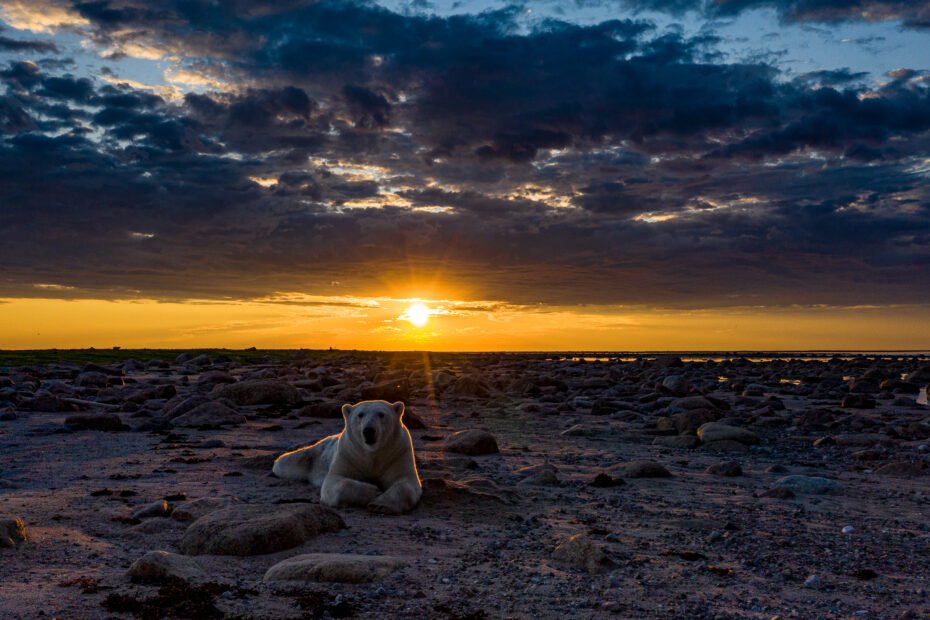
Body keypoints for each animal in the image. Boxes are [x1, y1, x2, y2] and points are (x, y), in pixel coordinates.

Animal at [272, 402, 420, 512]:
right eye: (360, 415)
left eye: (381, 414)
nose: (369, 431)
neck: (372, 452)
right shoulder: (349, 453)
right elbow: (335, 481)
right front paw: (374, 492)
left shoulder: (397, 453)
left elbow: (405, 482)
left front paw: (380, 504)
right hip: (313, 455)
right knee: (288, 462)